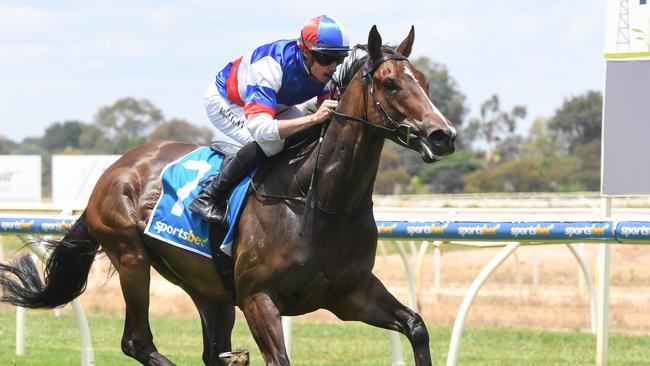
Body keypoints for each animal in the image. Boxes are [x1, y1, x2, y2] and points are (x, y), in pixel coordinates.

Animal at [0, 25, 454, 364]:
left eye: (426, 82)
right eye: (390, 83)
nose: (443, 135)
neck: (320, 203)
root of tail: (114, 169)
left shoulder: (350, 293)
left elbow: (416, 325)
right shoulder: (258, 299)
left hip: (208, 288)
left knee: (209, 350)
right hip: (131, 256)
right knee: (138, 341)